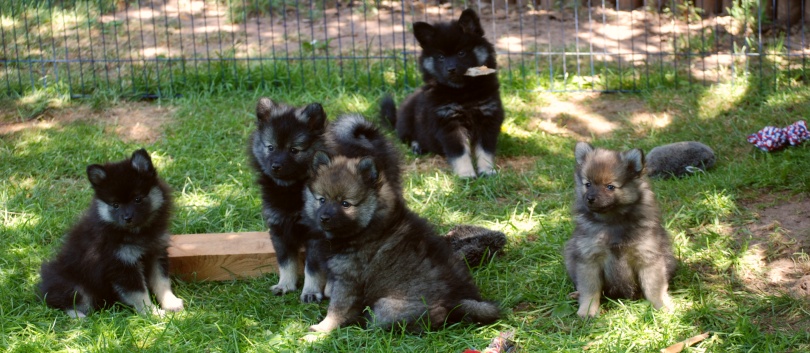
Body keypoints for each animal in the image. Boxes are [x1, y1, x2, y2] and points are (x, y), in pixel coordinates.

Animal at [249, 97, 332, 302]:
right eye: (271, 147)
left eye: (294, 150)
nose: (276, 165)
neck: (290, 189)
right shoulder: (279, 229)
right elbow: (286, 262)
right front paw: (285, 285)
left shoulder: (315, 235)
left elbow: (312, 268)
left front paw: (310, 292)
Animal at [304, 114, 498, 332]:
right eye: (322, 200)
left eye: (345, 204)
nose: (324, 218)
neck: (368, 226)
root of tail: (456, 302)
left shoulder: (348, 280)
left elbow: (336, 308)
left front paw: (322, 329)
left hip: (386, 306)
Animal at [564, 142, 680, 318]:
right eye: (588, 184)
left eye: (610, 187)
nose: (590, 198)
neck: (613, 221)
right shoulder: (589, 259)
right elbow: (590, 290)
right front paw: (588, 310)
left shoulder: (647, 257)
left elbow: (654, 288)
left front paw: (661, 305)